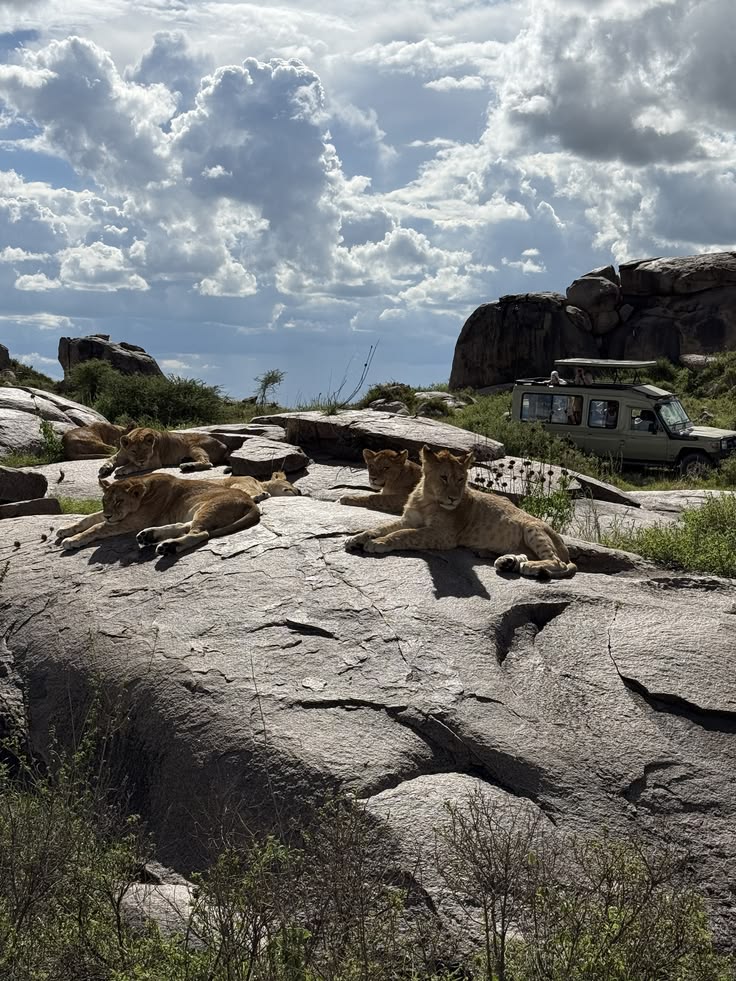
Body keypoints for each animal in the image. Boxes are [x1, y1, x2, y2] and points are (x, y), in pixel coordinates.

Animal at [55, 473, 261, 556]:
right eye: (104, 501)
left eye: (119, 501)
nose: (108, 515)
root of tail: (252, 503)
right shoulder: (117, 518)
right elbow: (88, 518)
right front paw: (65, 530)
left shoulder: (132, 522)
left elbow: (96, 527)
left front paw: (73, 540)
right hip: (196, 511)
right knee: (184, 526)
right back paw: (149, 535)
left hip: (209, 507)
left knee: (200, 533)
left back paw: (168, 547)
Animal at [98, 427, 229, 478]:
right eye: (133, 451)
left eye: (145, 450)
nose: (141, 461)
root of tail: (224, 445)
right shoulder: (121, 455)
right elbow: (110, 459)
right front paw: (105, 468)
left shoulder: (153, 461)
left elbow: (132, 464)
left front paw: (122, 469)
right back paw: (186, 461)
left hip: (194, 446)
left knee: (207, 462)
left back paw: (187, 465)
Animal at [345, 446, 576, 580]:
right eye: (444, 477)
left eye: (461, 479)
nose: (453, 499)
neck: (426, 499)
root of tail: (565, 548)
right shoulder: (407, 519)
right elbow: (380, 527)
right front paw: (355, 538)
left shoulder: (443, 536)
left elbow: (403, 534)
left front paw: (378, 543)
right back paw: (508, 562)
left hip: (533, 528)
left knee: (557, 562)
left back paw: (529, 567)